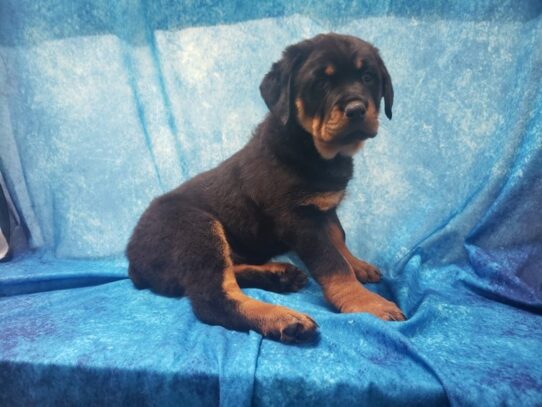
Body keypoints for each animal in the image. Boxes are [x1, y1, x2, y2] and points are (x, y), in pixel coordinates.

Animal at [127, 32, 406, 344]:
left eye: (368, 77)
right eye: (321, 83)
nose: (356, 109)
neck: (313, 148)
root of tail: (132, 258)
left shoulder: (323, 208)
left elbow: (338, 238)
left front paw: (358, 265)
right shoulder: (299, 219)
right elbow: (332, 263)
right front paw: (367, 302)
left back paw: (278, 276)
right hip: (196, 227)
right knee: (212, 297)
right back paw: (282, 318)